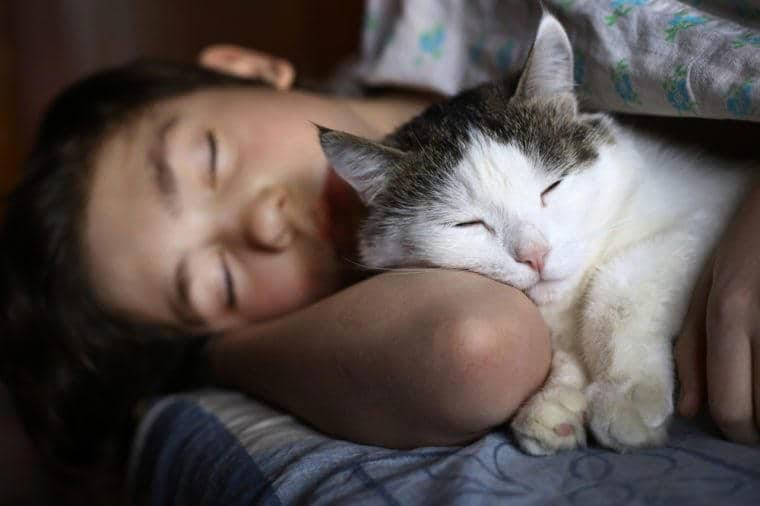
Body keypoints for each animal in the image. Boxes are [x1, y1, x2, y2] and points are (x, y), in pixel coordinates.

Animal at [316, 11, 756, 454]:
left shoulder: (709, 211)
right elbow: (557, 345)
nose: (535, 254)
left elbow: (617, 289)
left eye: (551, 188)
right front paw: (556, 400)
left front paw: (625, 393)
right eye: (467, 224)